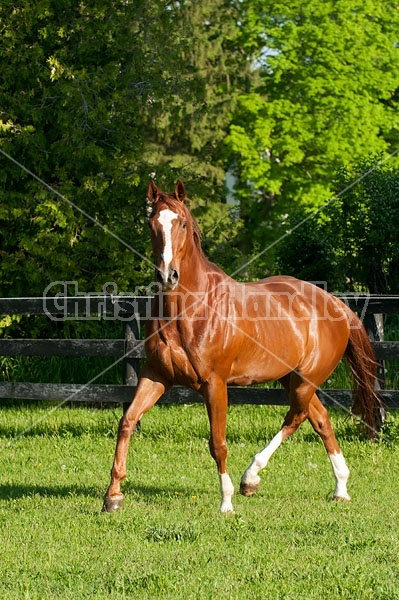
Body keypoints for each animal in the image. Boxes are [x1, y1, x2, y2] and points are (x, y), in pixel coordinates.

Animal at [104, 178, 384, 510]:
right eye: (151, 223)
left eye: (182, 222)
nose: (167, 275)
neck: (188, 311)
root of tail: (336, 304)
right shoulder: (156, 375)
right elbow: (127, 421)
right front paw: (113, 496)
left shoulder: (215, 383)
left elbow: (217, 442)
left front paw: (226, 502)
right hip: (291, 378)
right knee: (320, 419)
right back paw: (339, 487)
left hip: (305, 381)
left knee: (296, 417)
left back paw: (250, 478)